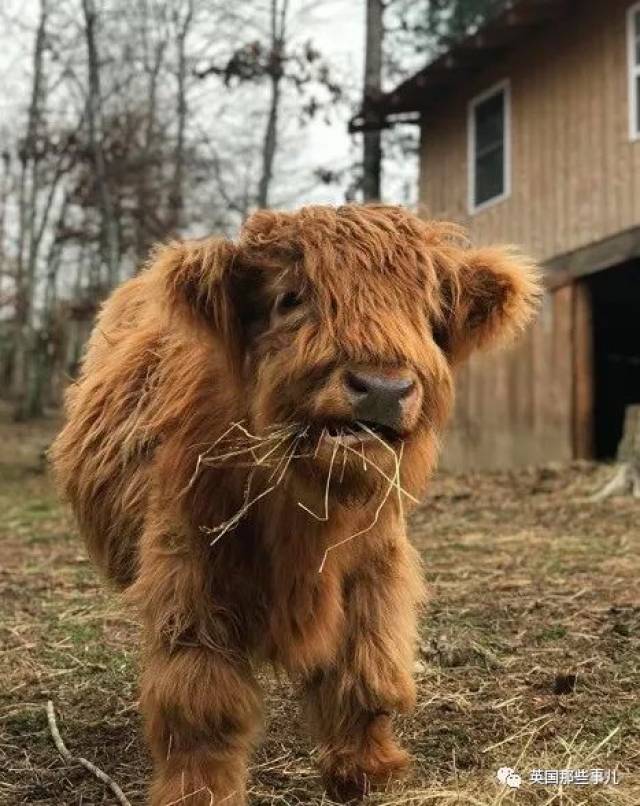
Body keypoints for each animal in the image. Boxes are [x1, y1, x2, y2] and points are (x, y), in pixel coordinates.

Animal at [52, 205, 540, 804]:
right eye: (290, 299)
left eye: (427, 311)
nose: (382, 388)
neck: (308, 510)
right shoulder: (189, 570)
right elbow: (200, 700)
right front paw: (198, 792)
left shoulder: (374, 563)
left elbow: (368, 669)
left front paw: (366, 771)